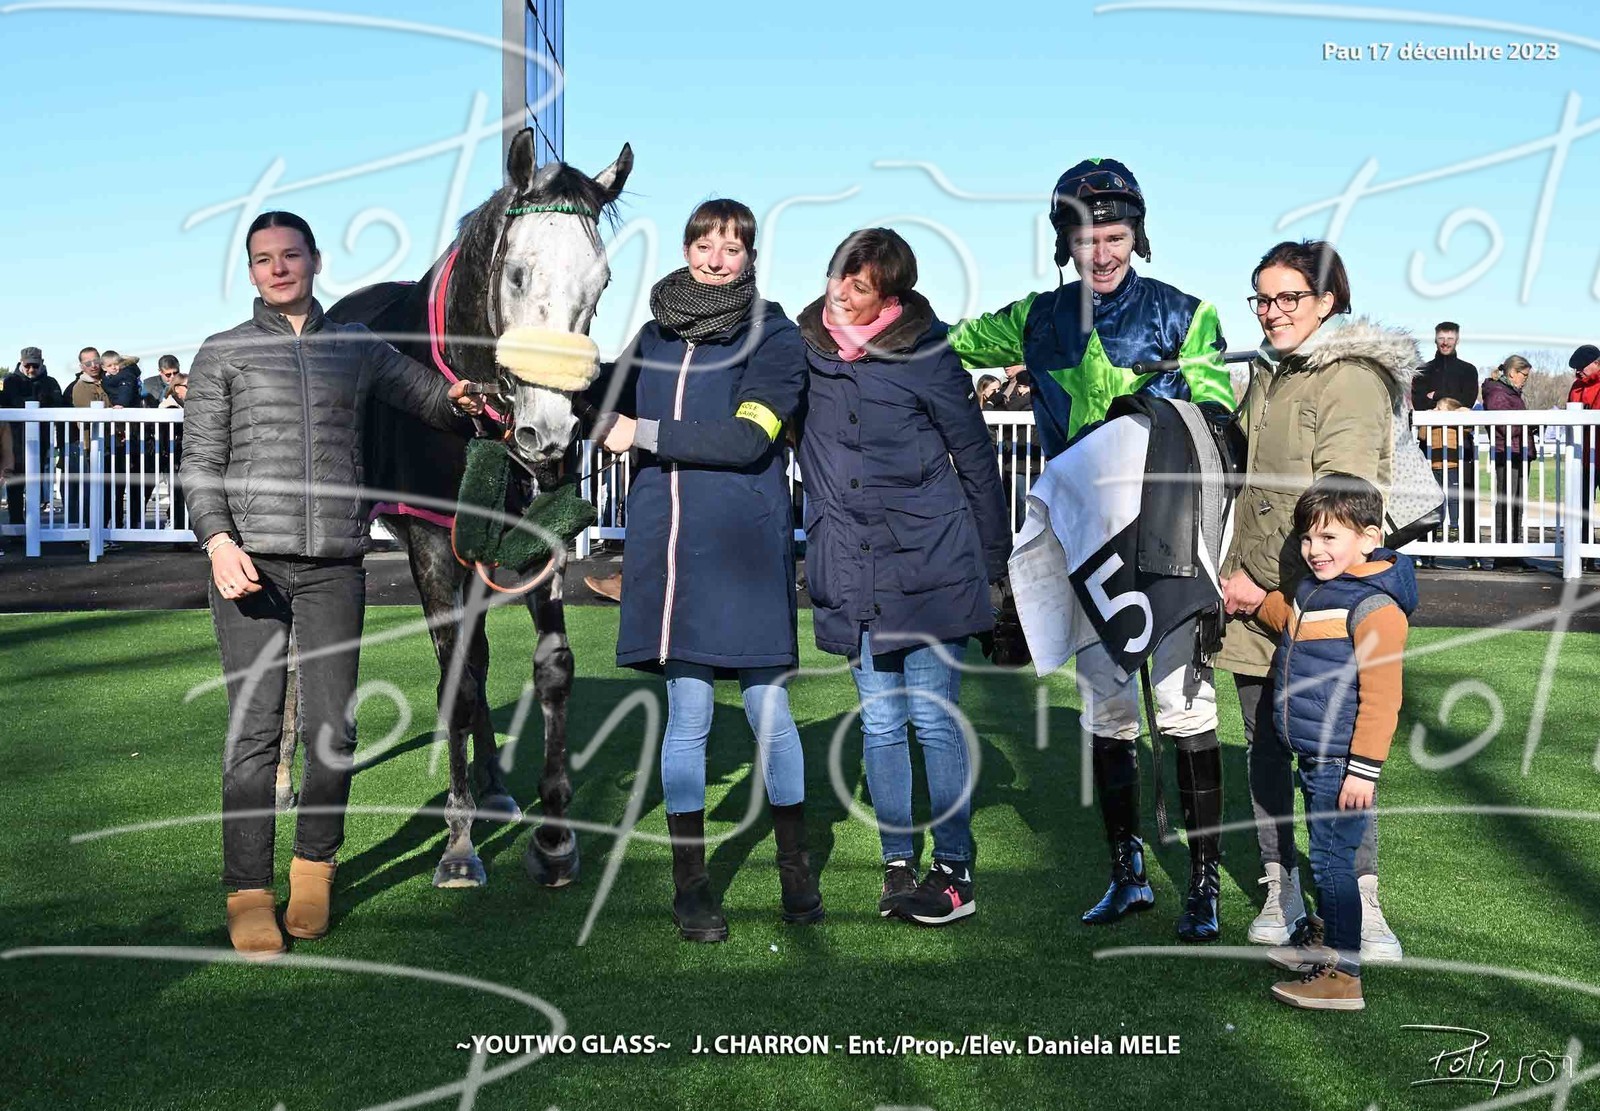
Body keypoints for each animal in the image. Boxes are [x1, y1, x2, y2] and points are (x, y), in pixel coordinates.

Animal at [307, 128, 632, 888]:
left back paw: (496, 787)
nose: (548, 434)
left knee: (478, 655)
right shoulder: (430, 542)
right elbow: (452, 684)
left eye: (599, 282)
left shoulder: (531, 535)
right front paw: (457, 845)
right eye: (515, 274)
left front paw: (554, 833)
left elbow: (550, 667)